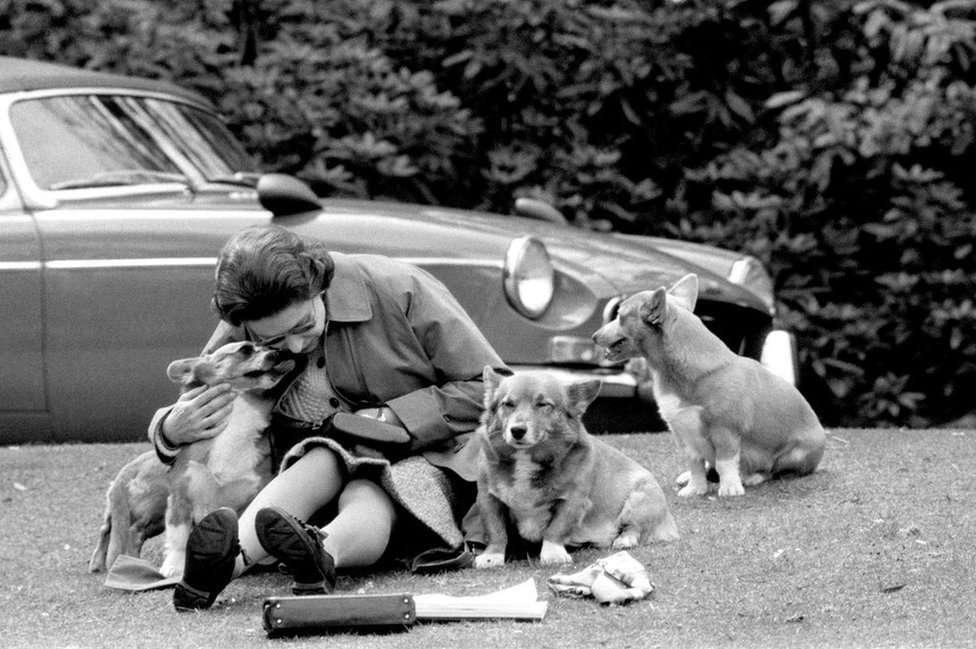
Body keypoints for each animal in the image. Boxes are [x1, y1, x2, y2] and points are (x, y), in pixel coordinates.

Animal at [89, 342, 292, 576]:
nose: (278, 353)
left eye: (269, 346)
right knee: (117, 529)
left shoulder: (253, 493)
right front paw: (173, 568)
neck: (234, 421)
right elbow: (179, 539)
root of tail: (128, 469)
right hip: (156, 504)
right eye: (245, 349)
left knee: (128, 531)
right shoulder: (180, 499)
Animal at [474, 370, 680, 568]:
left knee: (634, 527)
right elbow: (496, 531)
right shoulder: (488, 499)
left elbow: (556, 529)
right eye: (508, 404)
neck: (527, 459)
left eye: (543, 404)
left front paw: (553, 554)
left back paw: (625, 540)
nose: (517, 431)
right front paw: (492, 556)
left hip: (641, 499)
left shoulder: (573, 500)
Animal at [592, 274, 828, 496]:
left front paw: (730, 487)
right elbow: (695, 465)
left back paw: (752, 477)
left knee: (773, 470)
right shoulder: (684, 436)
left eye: (620, 316)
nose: (594, 336)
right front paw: (695, 488)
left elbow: (725, 463)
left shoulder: (724, 431)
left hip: (796, 453)